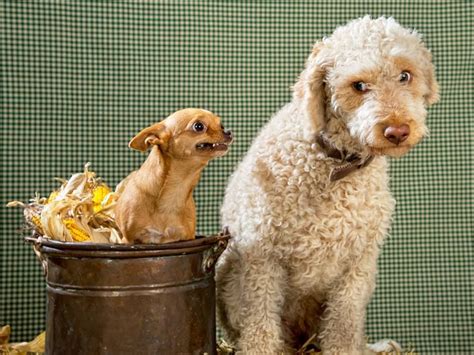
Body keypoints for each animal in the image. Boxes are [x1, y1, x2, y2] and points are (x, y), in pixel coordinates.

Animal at [217, 15, 438, 354]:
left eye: (405, 75)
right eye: (358, 85)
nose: (397, 130)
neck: (337, 164)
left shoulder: (358, 263)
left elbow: (344, 323)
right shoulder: (262, 257)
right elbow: (260, 324)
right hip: (228, 268)